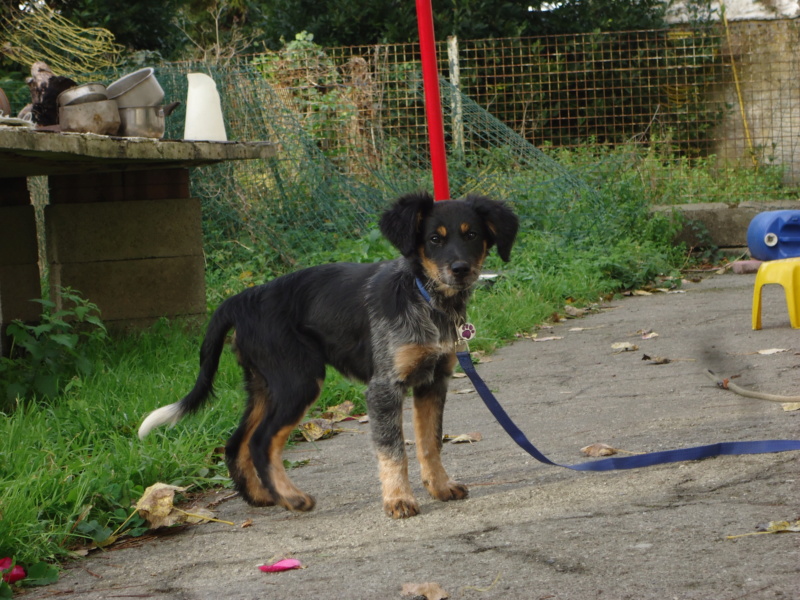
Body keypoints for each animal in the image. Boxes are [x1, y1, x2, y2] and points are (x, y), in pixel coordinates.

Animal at [139, 191, 520, 516]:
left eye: (472, 235)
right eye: (435, 240)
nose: (461, 270)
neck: (425, 298)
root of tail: (242, 299)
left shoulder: (433, 381)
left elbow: (430, 442)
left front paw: (439, 487)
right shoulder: (384, 387)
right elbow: (394, 449)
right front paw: (398, 500)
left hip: (266, 383)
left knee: (236, 443)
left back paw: (263, 496)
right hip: (299, 380)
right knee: (261, 442)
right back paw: (291, 497)